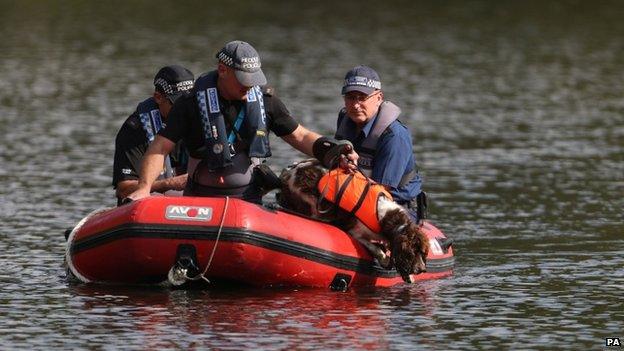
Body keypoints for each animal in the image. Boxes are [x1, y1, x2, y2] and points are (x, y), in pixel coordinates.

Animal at [278, 160, 428, 284]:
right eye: (413, 252)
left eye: (422, 252)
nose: (422, 270)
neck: (385, 217)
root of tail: (290, 170)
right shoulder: (356, 232)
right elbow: (375, 248)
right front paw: (385, 258)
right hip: (311, 201)